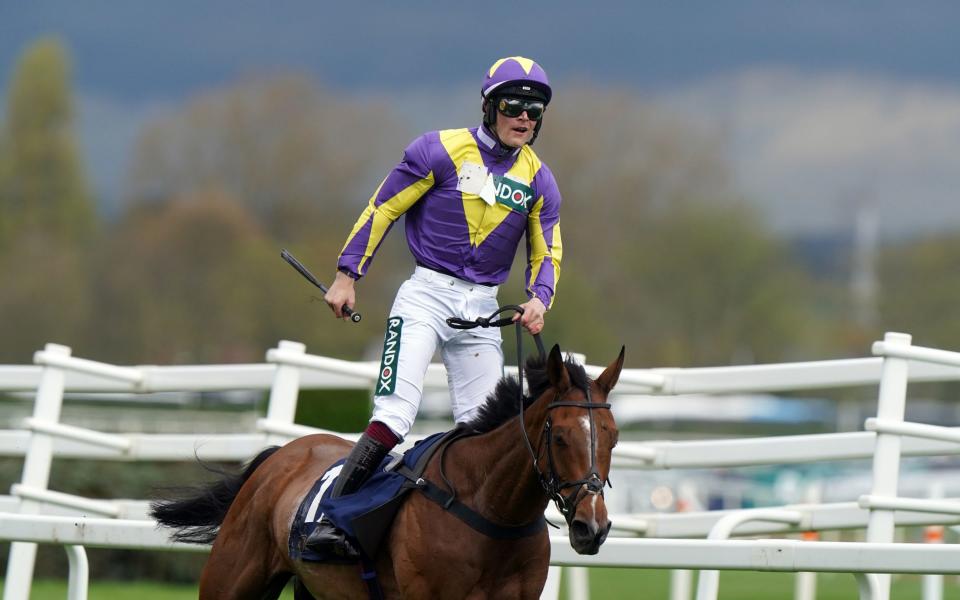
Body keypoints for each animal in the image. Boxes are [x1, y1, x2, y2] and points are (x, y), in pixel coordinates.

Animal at [152, 342, 624, 600]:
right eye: (560, 436)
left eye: (613, 436)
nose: (591, 527)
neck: (490, 511)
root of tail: (281, 454)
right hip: (228, 582)